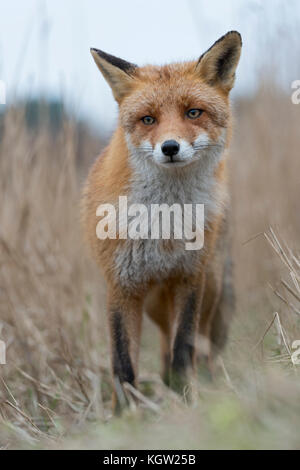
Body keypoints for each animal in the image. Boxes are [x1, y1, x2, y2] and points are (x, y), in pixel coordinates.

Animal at [81, 32, 241, 408]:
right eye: (148, 119)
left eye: (193, 112)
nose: (170, 147)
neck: (164, 225)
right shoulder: (121, 286)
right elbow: (123, 364)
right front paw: (127, 416)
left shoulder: (189, 278)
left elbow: (184, 349)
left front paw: (189, 403)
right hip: (155, 301)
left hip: (212, 284)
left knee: (201, 347)